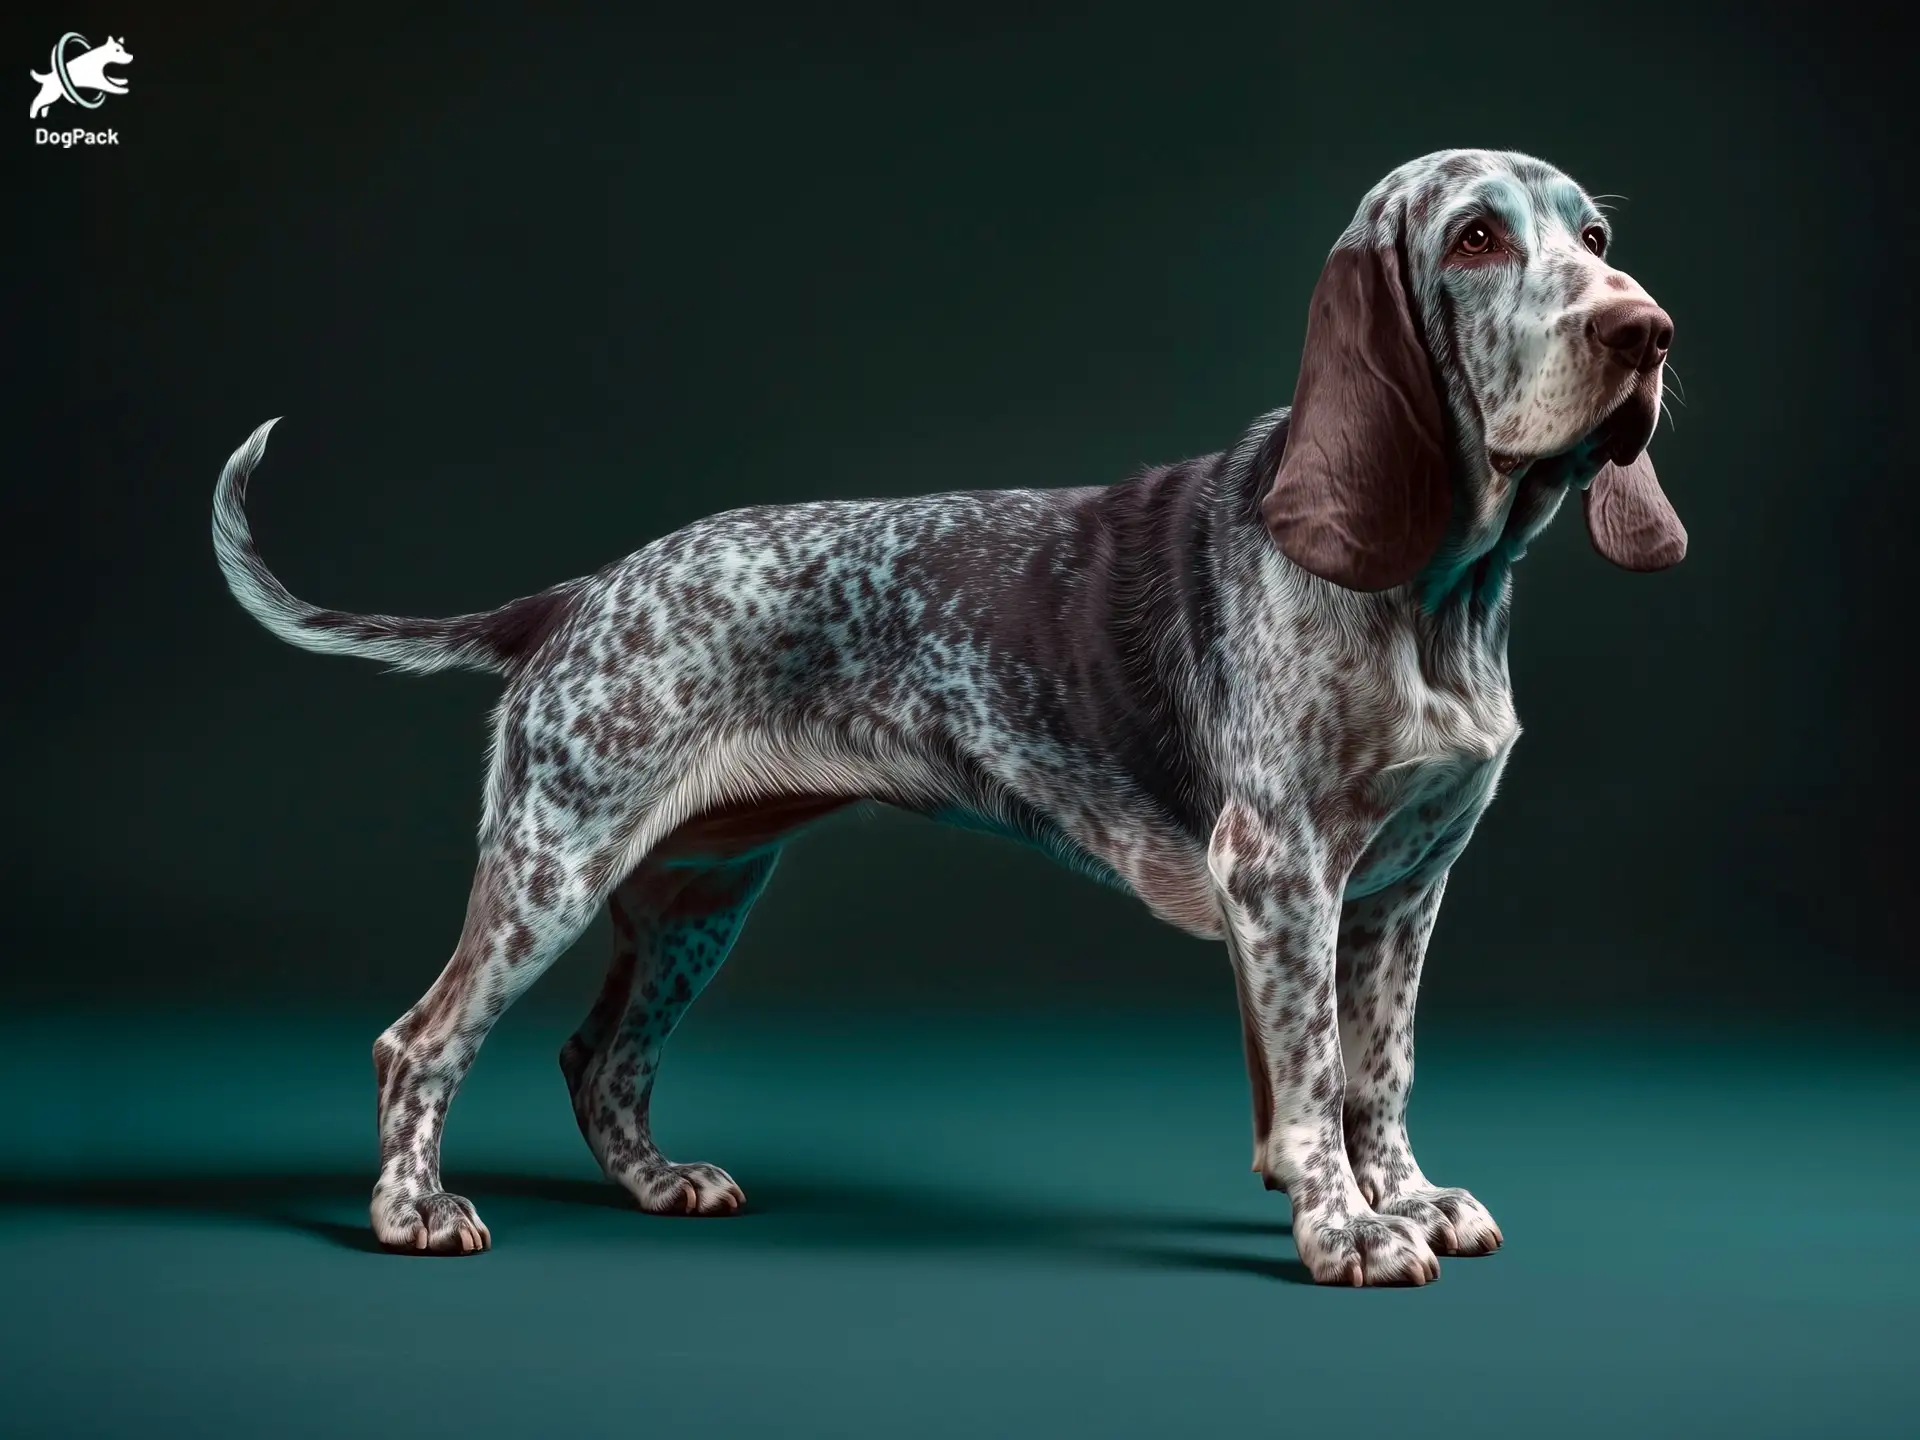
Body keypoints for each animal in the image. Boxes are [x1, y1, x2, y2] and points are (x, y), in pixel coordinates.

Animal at [210, 152, 1681, 1290]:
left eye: (1598, 238)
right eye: (1478, 236)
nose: (1645, 330)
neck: (1438, 592)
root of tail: (578, 594)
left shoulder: (1402, 889)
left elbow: (1381, 1069)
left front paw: (1405, 1197)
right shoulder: (1284, 877)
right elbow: (1318, 1080)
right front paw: (1348, 1230)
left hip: (696, 897)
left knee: (598, 1057)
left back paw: (658, 1180)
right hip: (550, 873)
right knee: (420, 1043)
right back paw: (412, 1211)